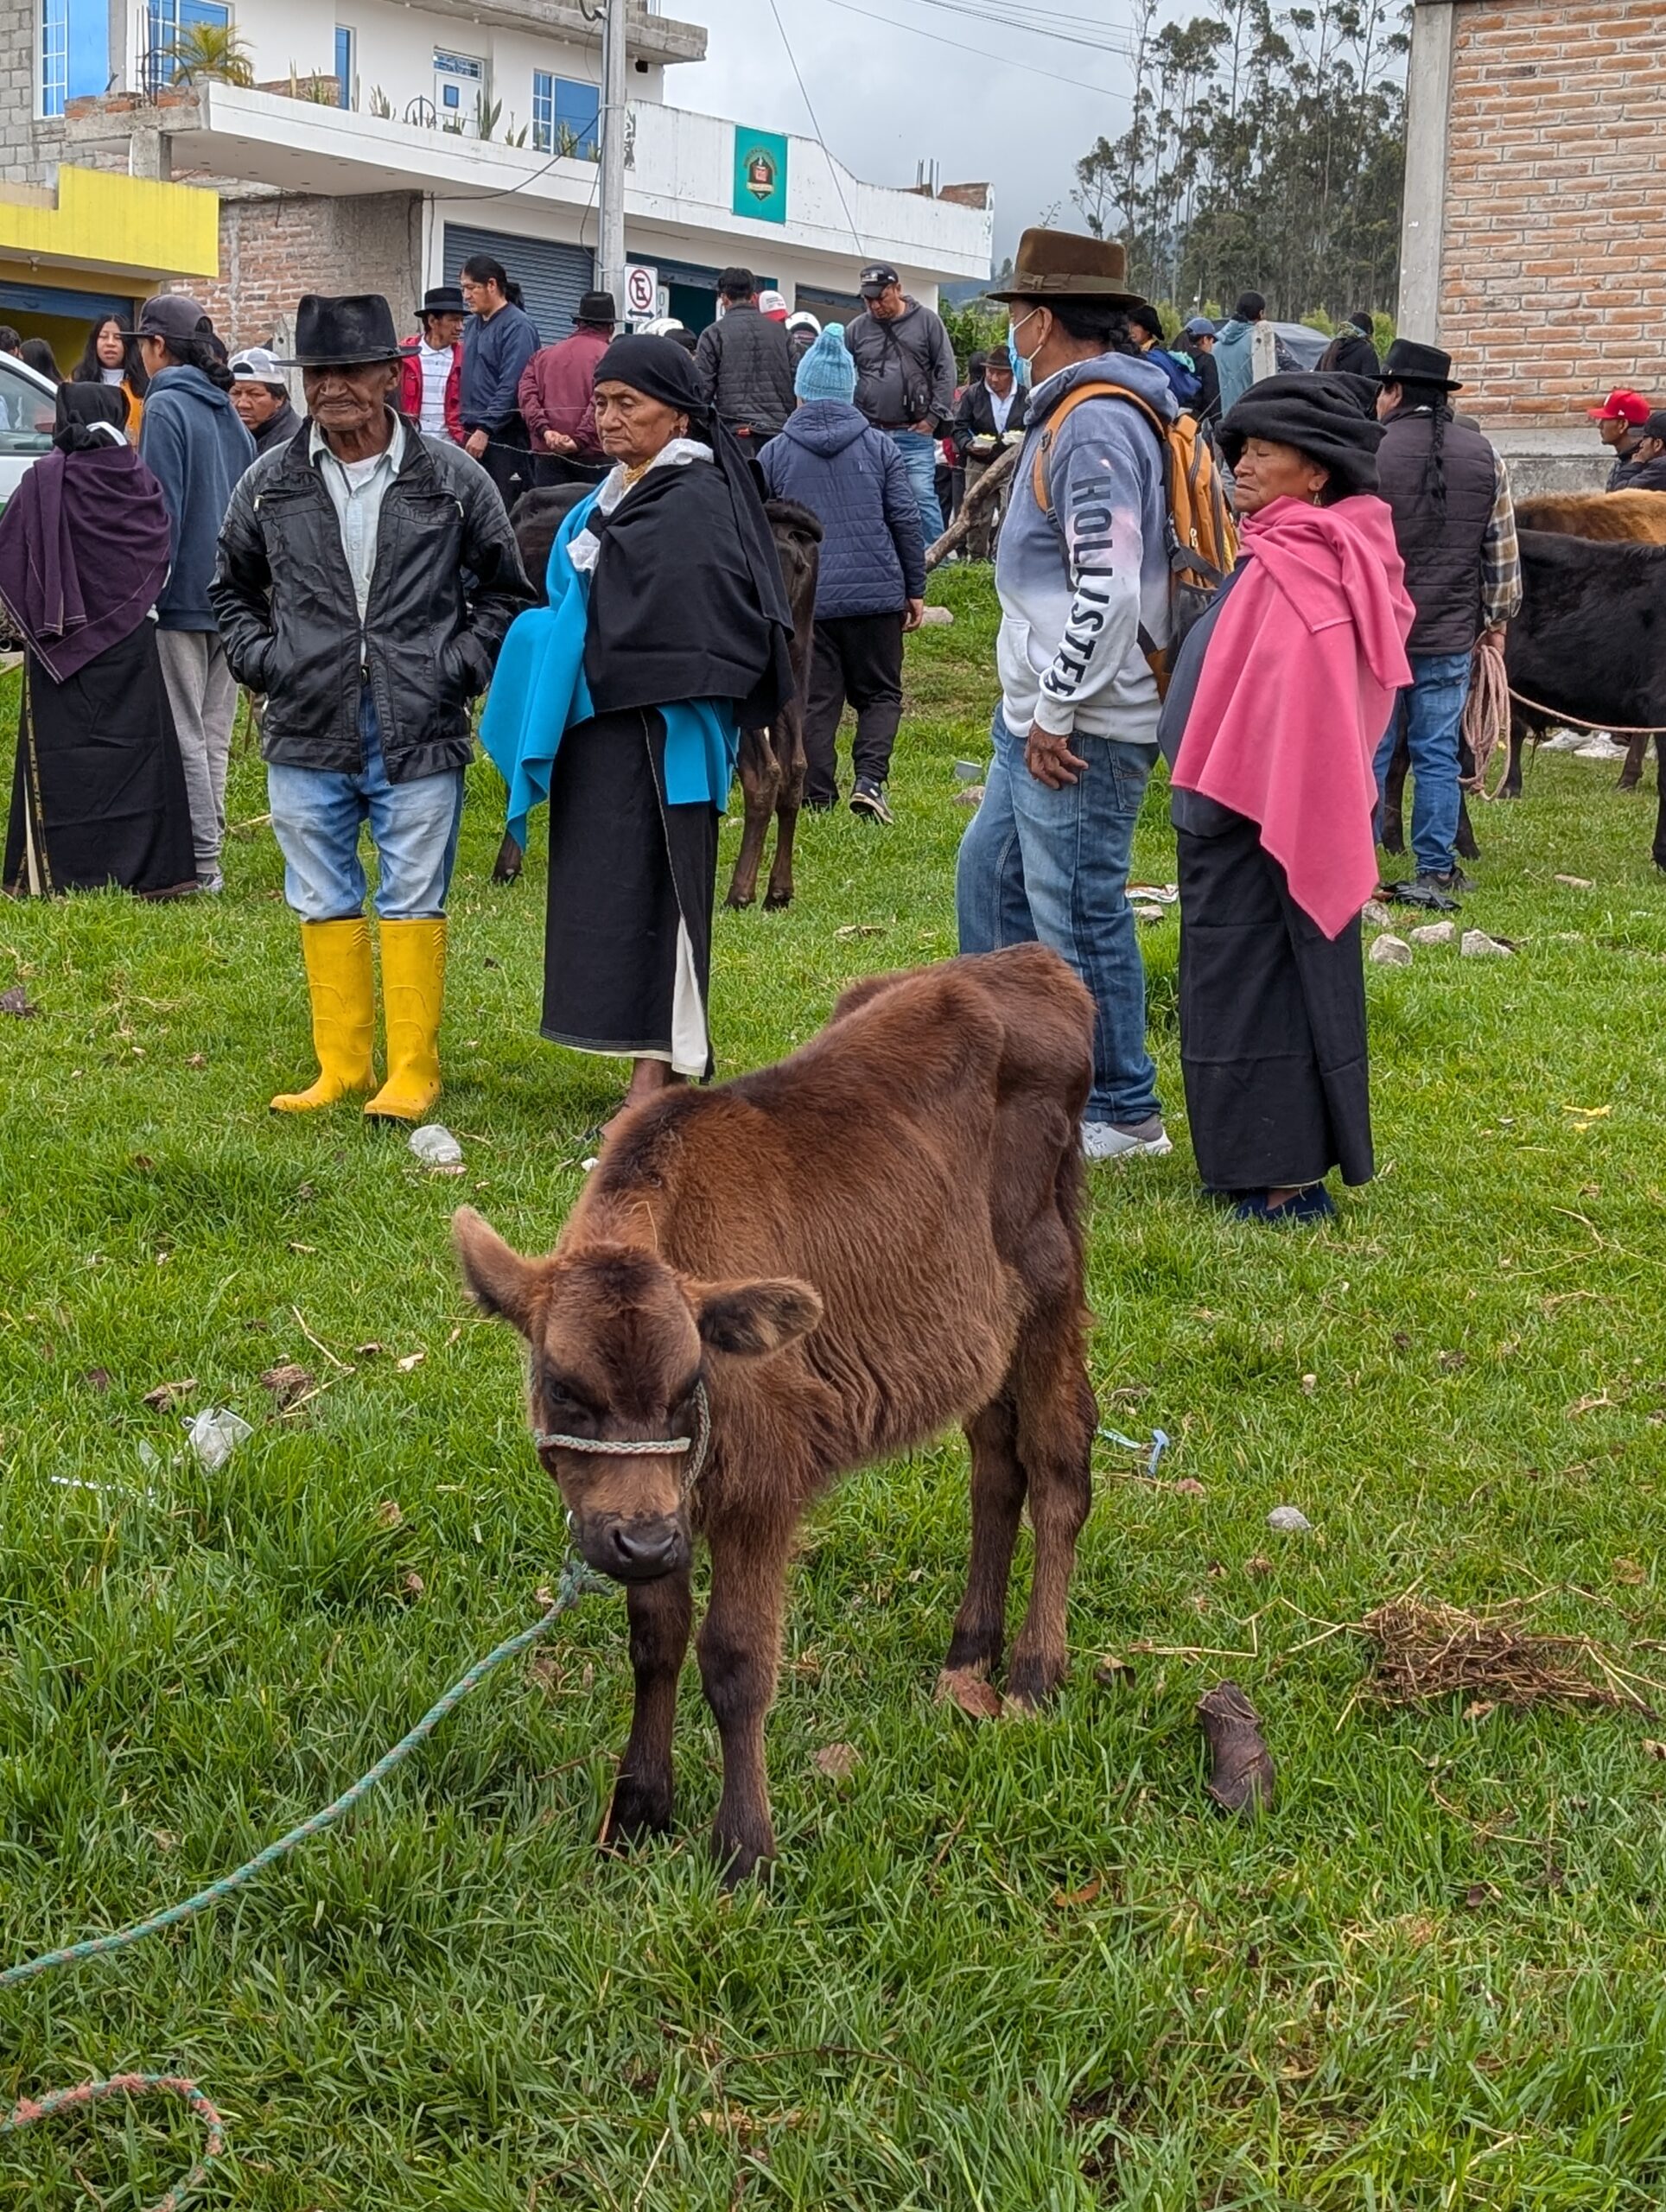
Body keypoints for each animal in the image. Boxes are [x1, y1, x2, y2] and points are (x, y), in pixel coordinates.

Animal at [453, 944, 1099, 1880]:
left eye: (691, 1381)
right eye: (564, 1386)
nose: (638, 1542)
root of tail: (1032, 962)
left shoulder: (761, 1489)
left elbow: (736, 1659)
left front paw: (743, 1847)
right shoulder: (670, 1504)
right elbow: (655, 1637)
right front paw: (638, 1806)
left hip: (1049, 1282)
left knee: (1056, 1465)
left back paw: (1034, 1670)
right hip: (978, 1331)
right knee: (994, 1463)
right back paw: (968, 1647)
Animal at [494, 487, 823, 911]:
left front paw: (509, 864)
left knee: (766, 773)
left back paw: (739, 892)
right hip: (795, 667)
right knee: (796, 766)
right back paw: (778, 890)